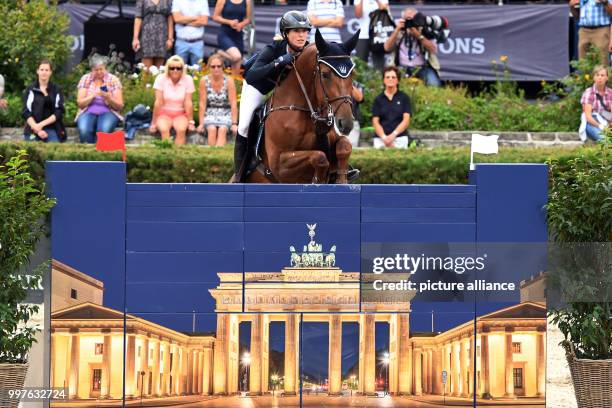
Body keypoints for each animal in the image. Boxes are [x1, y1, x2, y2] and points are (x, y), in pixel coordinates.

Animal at [244, 28, 358, 182]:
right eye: (325, 74)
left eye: (352, 74)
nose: (346, 123)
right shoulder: (279, 165)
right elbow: (320, 157)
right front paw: (317, 180)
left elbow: (345, 147)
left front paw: (341, 179)